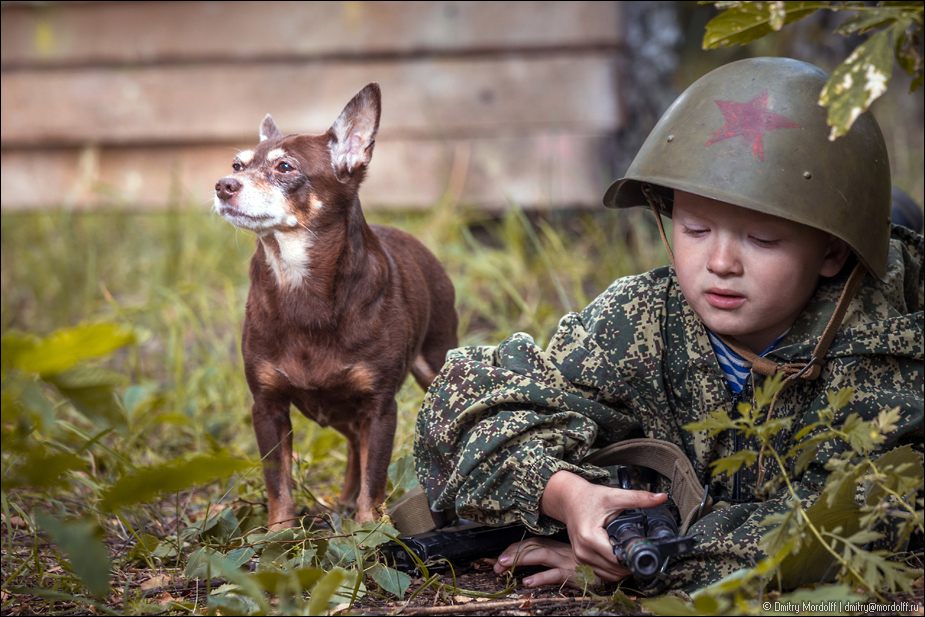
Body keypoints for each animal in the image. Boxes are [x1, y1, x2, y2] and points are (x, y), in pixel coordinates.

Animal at [217, 82, 462, 528]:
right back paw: (344, 498)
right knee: (351, 445)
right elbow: (278, 482)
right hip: (341, 410)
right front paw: (279, 532)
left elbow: (375, 477)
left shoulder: (379, 409)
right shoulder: (267, 407)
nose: (223, 184)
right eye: (237, 164)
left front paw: (370, 530)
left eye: (285, 167)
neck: (301, 287)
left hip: (434, 370)